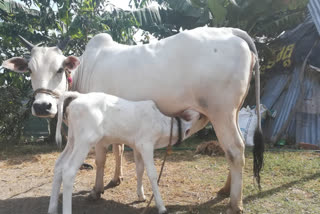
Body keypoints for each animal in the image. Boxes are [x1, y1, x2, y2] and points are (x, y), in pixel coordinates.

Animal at [48, 92, 201, 214]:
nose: (199, 113)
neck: (161, 122)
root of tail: (79, 96)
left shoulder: (137, 146)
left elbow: (140, 169)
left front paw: (141, 195)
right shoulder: (146, 145)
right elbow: (152, 173)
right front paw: (161, 206)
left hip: (73, 139)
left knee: (59, 165)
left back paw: (52, 208)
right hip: (85, 140)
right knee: (68, 170)